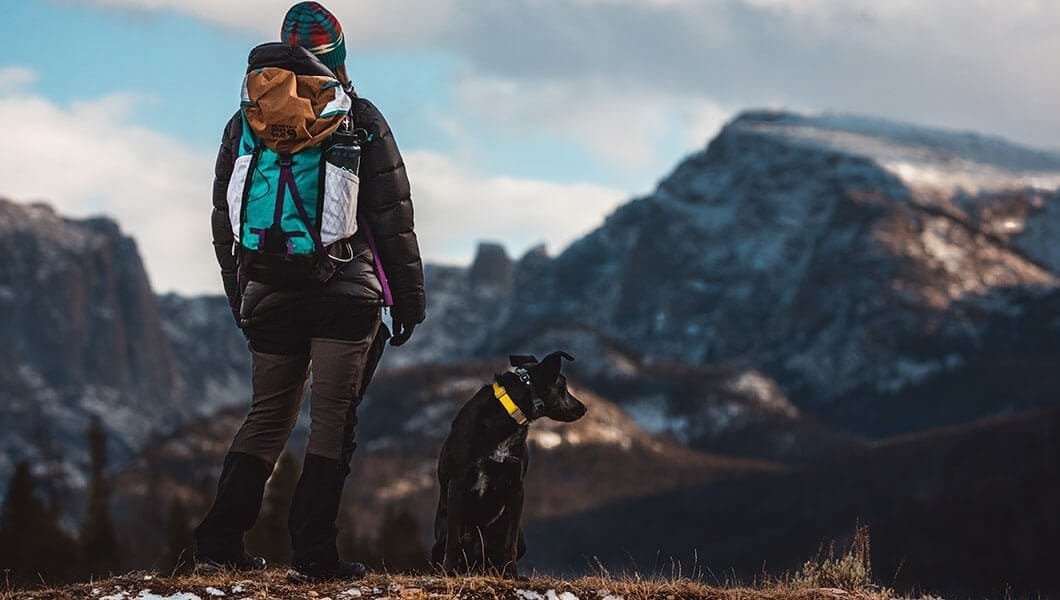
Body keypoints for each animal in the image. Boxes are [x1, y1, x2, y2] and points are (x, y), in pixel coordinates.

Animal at [430, 351, 589, 576]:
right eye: (563, 387)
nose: (584, 408)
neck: (506, 417)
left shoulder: (516, 488)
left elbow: (509, 542)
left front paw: (511, 574)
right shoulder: (457, 483)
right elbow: (453, 540)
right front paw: (449, 571)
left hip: (518, 539)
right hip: (441, 542)